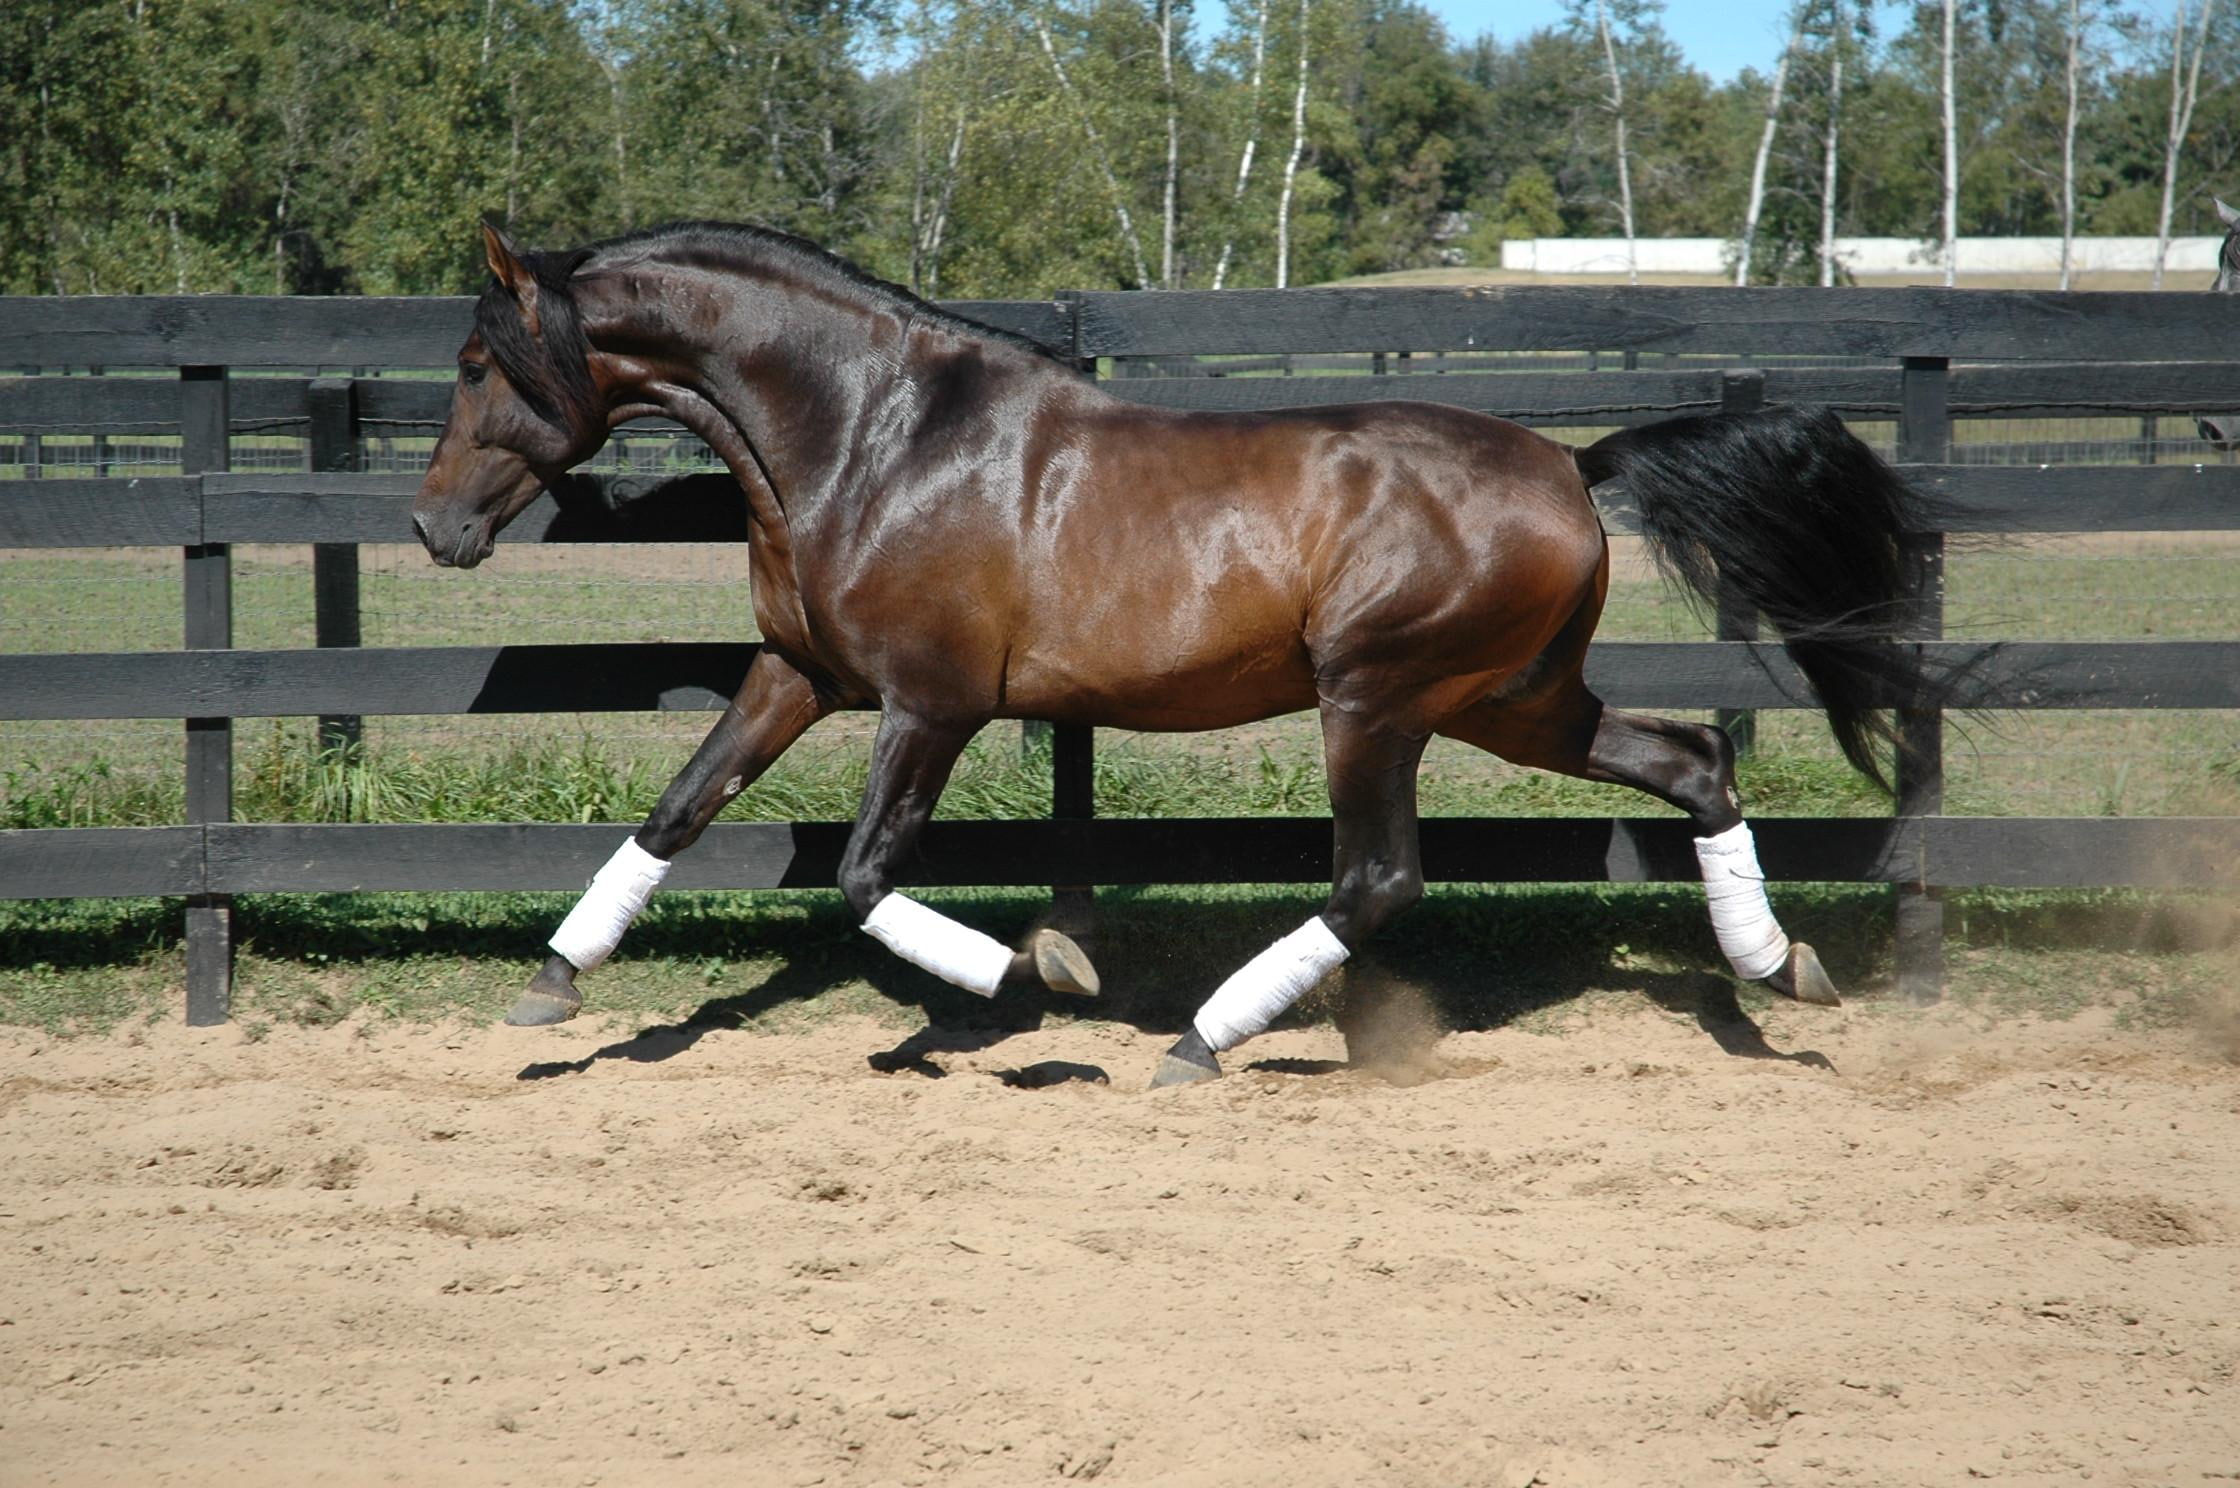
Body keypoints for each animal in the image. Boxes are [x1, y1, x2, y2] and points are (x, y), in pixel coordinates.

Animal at [414, 219, 1950, 1088]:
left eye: (478, 365)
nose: (433, 526)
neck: (872, 437)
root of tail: (1575, 467)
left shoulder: (929, 703)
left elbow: (861, 876)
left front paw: (1037, 974)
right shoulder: (799, 675)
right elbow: (679, 807)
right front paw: (553, 984)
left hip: (1375, 699)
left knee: (1378, 878)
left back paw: (1198, 1043)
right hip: (1511, 704)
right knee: (1691, 765)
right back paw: (1778, 970)